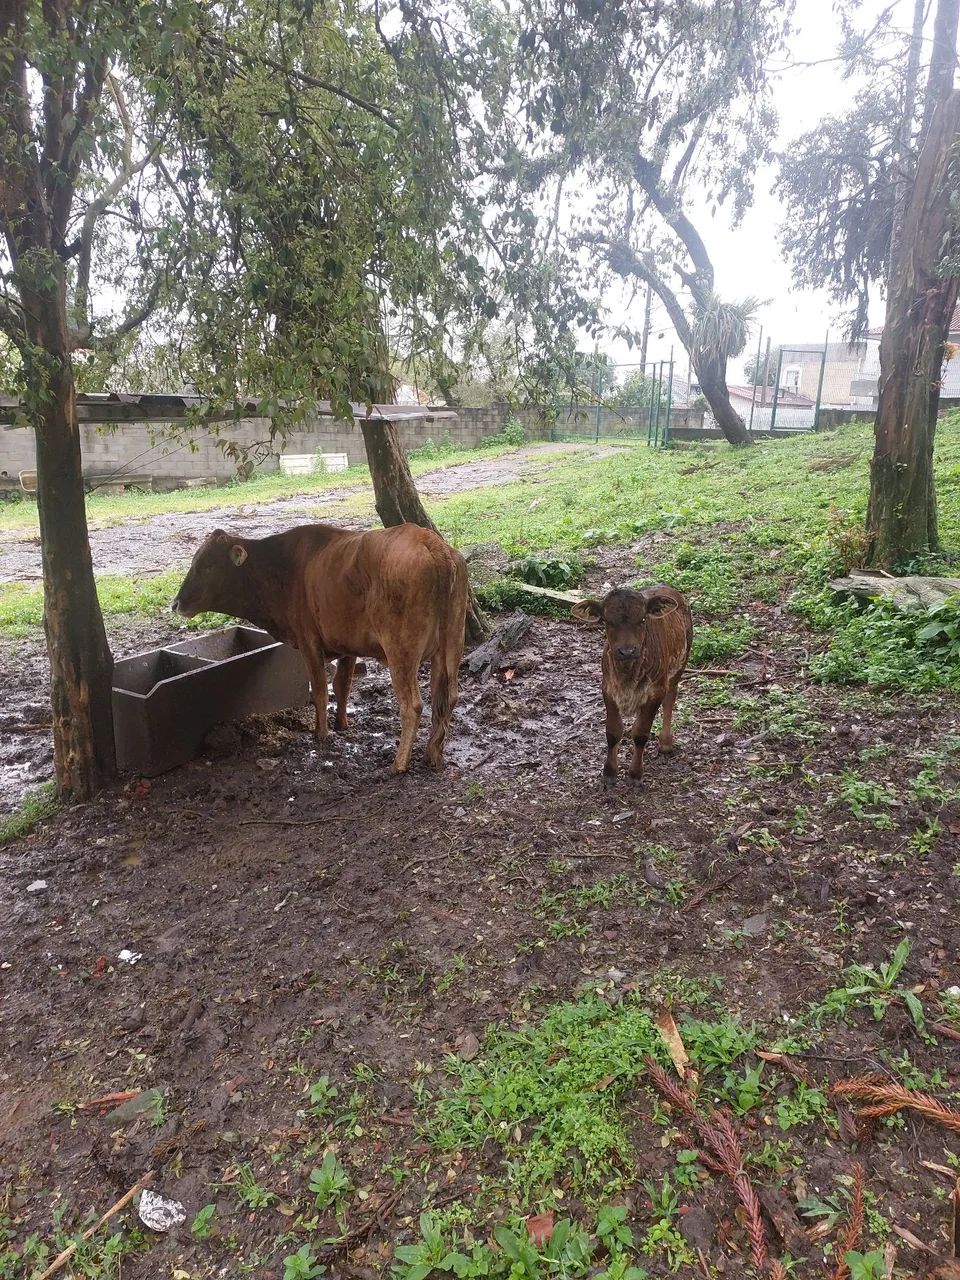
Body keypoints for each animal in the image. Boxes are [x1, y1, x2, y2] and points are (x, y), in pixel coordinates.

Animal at [171, 523, 469, 773]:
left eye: (206, 566)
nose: (176, 603)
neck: (283, 568)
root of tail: (434, 545)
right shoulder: (347, 644)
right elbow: (342, 685)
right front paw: (342, 724)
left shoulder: (308, 641)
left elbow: (321, 689)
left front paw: (321, 734)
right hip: (452, 644)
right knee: (448, 696)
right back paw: (433, 754)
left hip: (400, 650)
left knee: (413, 705)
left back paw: (399, 763)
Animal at [571, 585, 692, 784]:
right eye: (607, 621)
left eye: (643, 619)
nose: (627, 651)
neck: (628, 674)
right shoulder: (608, 688)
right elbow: (613, 731)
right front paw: (609, 772)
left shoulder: (656, 691)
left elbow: (641, 733)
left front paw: (635, 773)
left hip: (680, 664)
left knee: (670, 699)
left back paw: (666, 742)